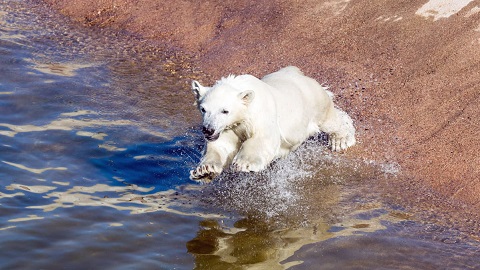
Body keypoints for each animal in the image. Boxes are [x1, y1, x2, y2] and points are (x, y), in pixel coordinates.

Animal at [189, 66, 354, 181]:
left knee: (329, 120)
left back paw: (341, 140)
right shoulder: (229, 127)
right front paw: (204, 171)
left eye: (225, 111)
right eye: (203, 109)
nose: (208, 130)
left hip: (314, 101)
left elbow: (263, 139)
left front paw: (244, 164)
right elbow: (222, 146)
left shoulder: (262, 114)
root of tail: (298, 72)